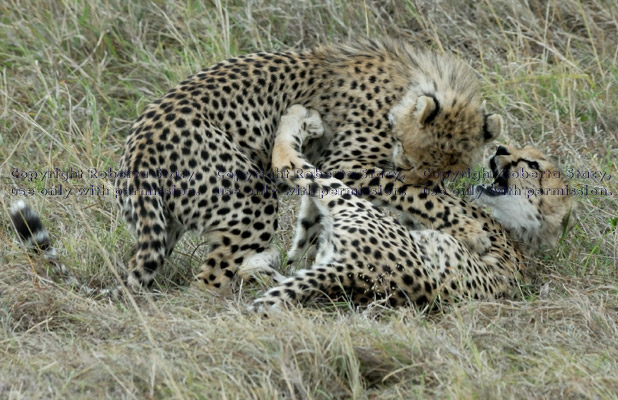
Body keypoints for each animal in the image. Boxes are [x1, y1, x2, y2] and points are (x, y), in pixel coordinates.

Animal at [114, 39, 500, 292]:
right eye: (407, 158)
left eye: (444, 173)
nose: (422, 178)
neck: (408, 87)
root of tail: (140, 143)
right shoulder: (345, 163)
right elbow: (413, 196)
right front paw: (471, 231)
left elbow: (316, 212)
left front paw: (310, 250)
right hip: (251, 201)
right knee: (207, 280)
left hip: (167, 223)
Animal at [249, 104, 572, 310]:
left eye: (532, 165)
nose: (502, 149)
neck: (517, 234)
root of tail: (348, 271)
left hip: (350, 205)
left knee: (288, 163)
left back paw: (300, 117)